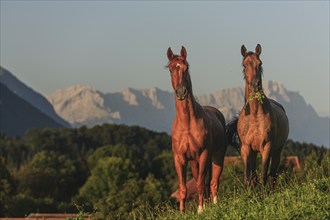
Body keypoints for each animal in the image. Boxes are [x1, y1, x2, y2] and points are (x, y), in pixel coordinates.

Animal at [168, 46, 227, 213]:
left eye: (186, 67)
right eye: (170, 69)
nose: (181, 92)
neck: (187, 125)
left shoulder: (204, 154)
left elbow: (201, 184)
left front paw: (200, 210)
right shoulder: (179, 158)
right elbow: (183, 188)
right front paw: (182, 212)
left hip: (217, 157)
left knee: (213, 182)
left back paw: (214, 205)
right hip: (195, 163)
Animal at [237, 44, 288, 189]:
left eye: (260, 64)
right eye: (244, 65)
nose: (255, 84)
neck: (255, 115)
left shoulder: (267, 147)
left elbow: (263, 176)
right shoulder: (246, 149)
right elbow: (247, 177)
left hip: (277, 151)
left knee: (272, 176)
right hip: (254, 153)